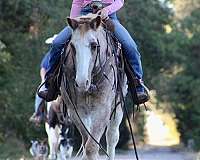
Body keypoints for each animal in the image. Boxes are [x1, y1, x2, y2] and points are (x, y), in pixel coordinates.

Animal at [60, 14, 127, 160]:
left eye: (94, 45)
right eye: (72, 46)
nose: (81, 82)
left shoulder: (103, 110)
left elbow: (91, 147)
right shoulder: (75, 111)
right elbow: (87, 143)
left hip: (118, 107)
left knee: (112, 137)